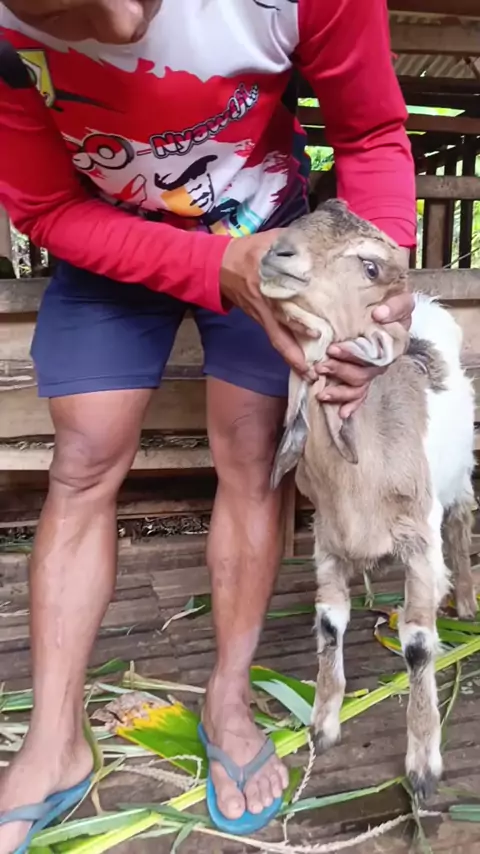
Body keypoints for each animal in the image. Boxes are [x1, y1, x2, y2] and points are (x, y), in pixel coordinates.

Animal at [259, 200, 476, 800]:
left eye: (371, 267)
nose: (277, 254)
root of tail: (426, 309)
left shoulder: (419, 543)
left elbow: (419, 644)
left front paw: (423, 767)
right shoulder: (327, 542)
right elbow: (330, 624)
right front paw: (322, 725)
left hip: (459, 481)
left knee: (461, 523)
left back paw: (466, 600)